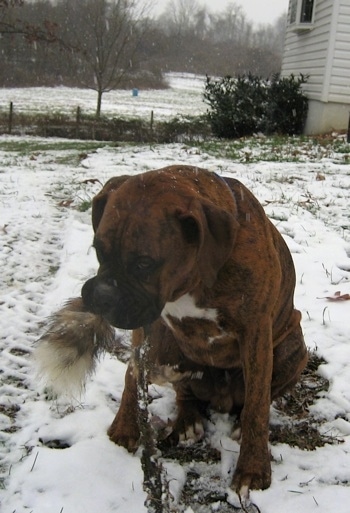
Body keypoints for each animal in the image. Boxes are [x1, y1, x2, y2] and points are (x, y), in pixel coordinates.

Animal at [78, 164, 306, 492]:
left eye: (144, 264)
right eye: (99, 250)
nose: (102, 296)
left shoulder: (256, 332)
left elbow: (257, 403)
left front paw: (252, 468)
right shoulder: (146, 324)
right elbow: (131, 376)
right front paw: (124, 426)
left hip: (293, 347)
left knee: (259, 396)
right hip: (171, 350)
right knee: (183, 390)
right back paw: (186, 420)